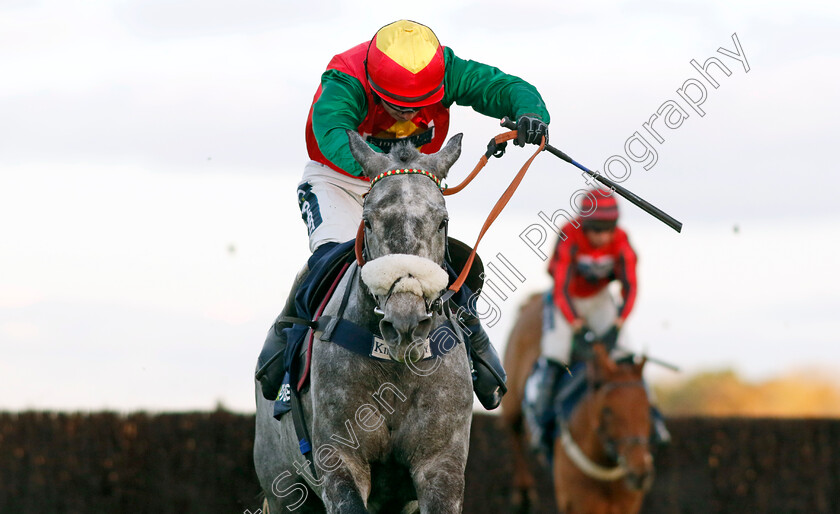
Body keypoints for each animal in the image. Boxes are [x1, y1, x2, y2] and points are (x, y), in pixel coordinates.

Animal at [253, 132, 476, 512]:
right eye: (368, 221)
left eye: (442, 221)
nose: (405, 324)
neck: (397, 370)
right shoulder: (340, 459)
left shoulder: (441, 463)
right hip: (284, 488)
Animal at [498, 292, 656, 512]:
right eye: (607, 410)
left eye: (647, 408)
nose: (640, 472)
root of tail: (535, 299)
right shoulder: (578, 503)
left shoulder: (628, 505)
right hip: (511, 395)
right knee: (513, 431)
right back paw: (524, 491)